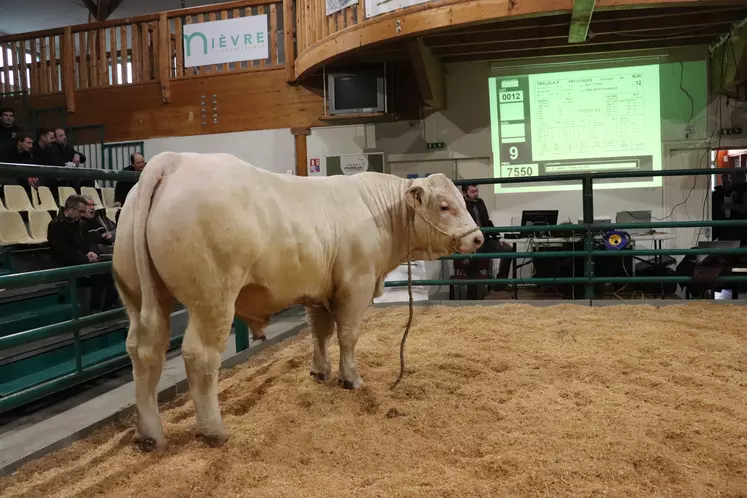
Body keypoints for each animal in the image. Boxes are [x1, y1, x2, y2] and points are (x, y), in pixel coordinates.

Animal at [112, 150, 486, 450]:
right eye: (444, 206)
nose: (479, 238)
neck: (380, 213)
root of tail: (174, 160)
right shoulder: (356, 283)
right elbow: (348, 334)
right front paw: (351, 378)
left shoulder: (319, 291)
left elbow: (319, 331)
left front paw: (320, 372)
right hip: (213, 297)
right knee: (200, 355)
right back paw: (213, 431)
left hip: (138, 295)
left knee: (144, 351)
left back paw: (149, 435)